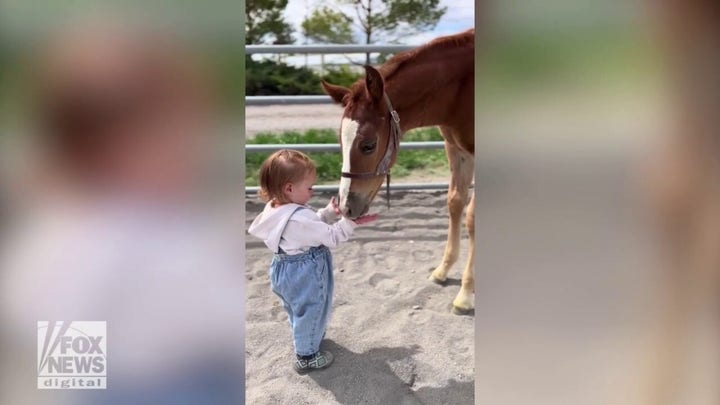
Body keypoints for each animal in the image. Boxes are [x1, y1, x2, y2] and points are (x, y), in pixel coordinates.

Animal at [324, 30, 476, 314]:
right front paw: (442, 270)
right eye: (340, 141)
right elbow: (455, 202)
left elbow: (471, 216)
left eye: (368, 145)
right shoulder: (457, 149)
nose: (346, 207)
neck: (463, 91)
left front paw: (465, 294)